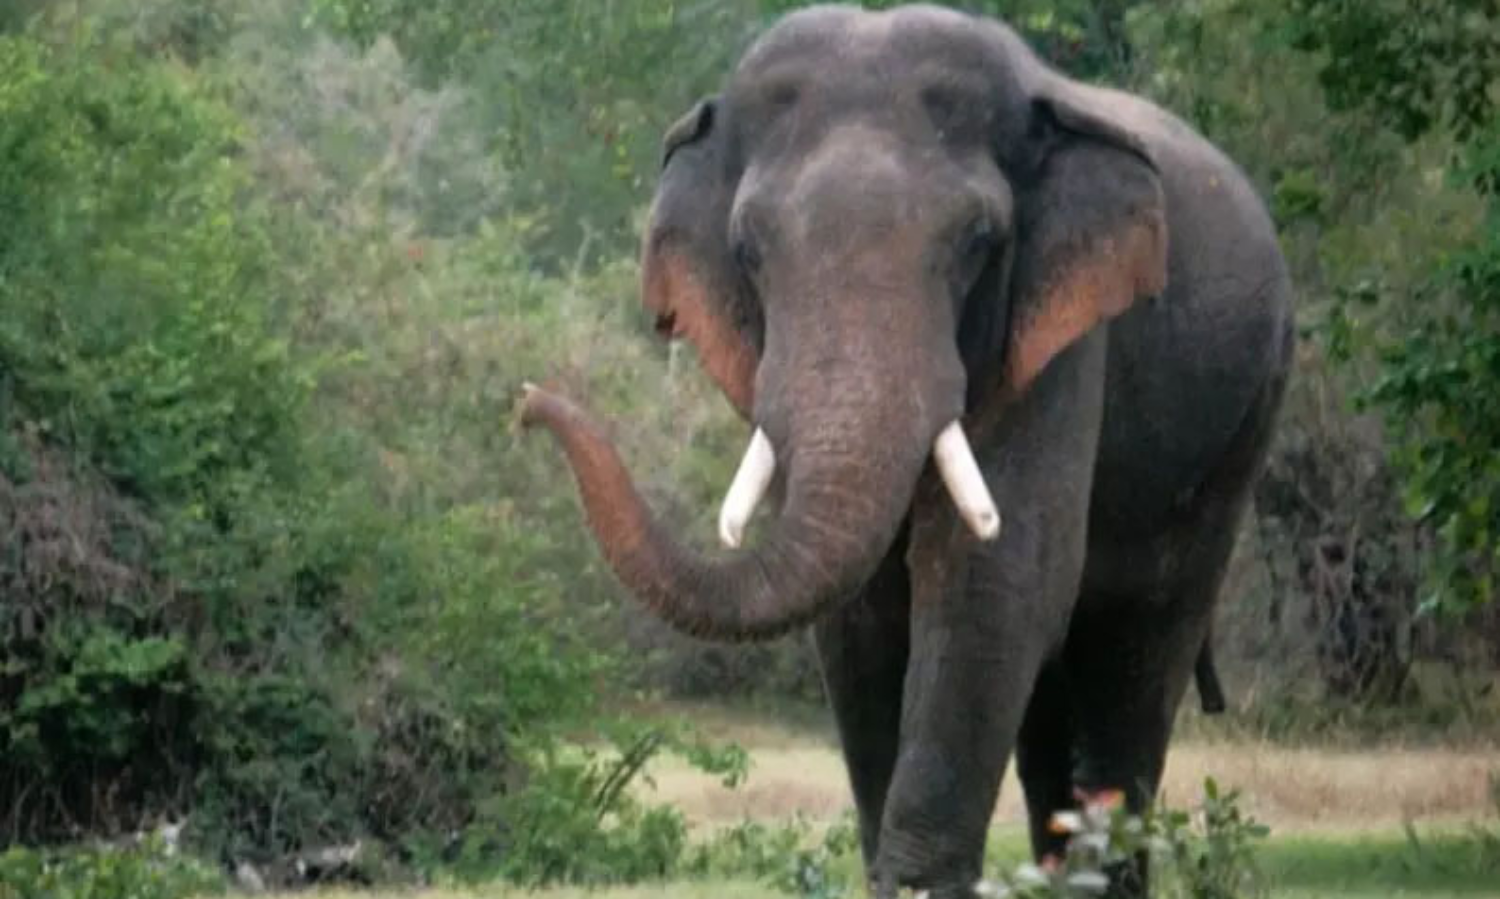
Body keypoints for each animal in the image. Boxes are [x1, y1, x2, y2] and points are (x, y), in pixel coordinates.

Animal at [519, 4, 1292, 897]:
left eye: (980, 240)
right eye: (747, 249)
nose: (528, 402)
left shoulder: (1064, 333)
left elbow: (996, 580)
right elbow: (859, 616)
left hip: (1245, 420)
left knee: (1135, 651)